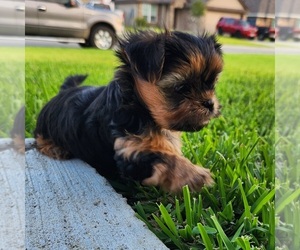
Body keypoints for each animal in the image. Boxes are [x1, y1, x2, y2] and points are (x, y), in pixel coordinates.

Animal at [34, 29, 223, 193]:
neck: (140, 109)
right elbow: (163, 158)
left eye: (212, 83)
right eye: (181, 87)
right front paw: (194, 174)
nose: (209, 103)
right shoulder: (129, 148)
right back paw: (55, 148)